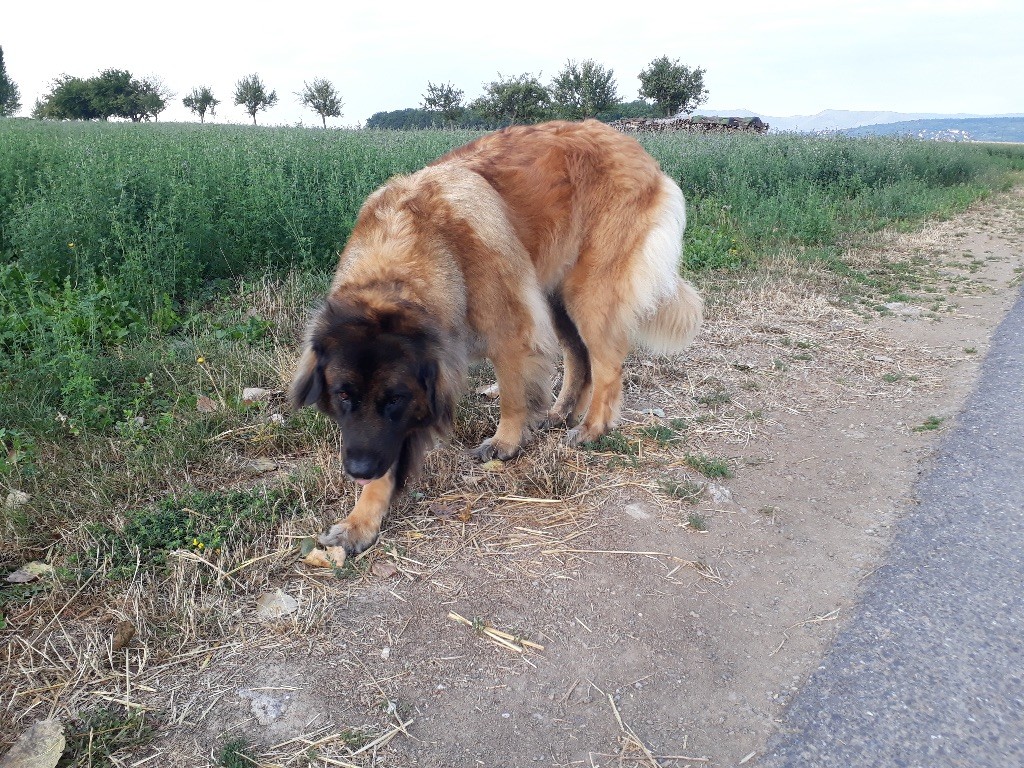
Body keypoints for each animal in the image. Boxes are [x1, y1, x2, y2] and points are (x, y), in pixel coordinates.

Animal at [292, 118, 700, 552]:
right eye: (343, 396)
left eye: (394, 398)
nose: (358, 470)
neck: (416, 246)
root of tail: (633, 147)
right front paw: (360, 522)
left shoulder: (509, 333)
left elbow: (512, 396)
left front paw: (506, 442)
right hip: (555, 298)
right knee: (580, 358)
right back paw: (560, 412)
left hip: (588, 294)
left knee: (608, 366)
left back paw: (592, 428)